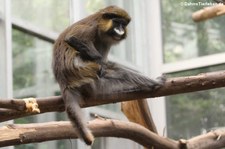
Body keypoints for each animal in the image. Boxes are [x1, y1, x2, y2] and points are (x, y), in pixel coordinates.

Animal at [52, 5, 165, 146]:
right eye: (116, 22)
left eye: (123, 24)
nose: (120, 29)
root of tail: (64, 81)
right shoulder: (91, 28)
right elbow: (71, 39)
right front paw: (100, 61)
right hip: (84, 71)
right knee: (116, 71)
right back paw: (152, 83)